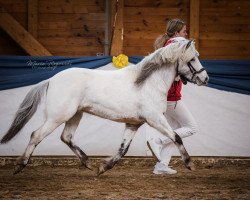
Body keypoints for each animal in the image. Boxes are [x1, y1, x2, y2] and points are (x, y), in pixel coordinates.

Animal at [0, 37, 209, 175]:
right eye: (192, 59)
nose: (205, 78)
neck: (148, 83)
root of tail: (51, 79)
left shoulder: (133, 124)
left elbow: (123, 150)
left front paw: (103, 167)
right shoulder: (155, 119)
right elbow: (177, 137)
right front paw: (190, 164)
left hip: (75, 115)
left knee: (66, 137)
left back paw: (88, 163)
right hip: (58, 116)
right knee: (36, 135)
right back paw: (20, 165)